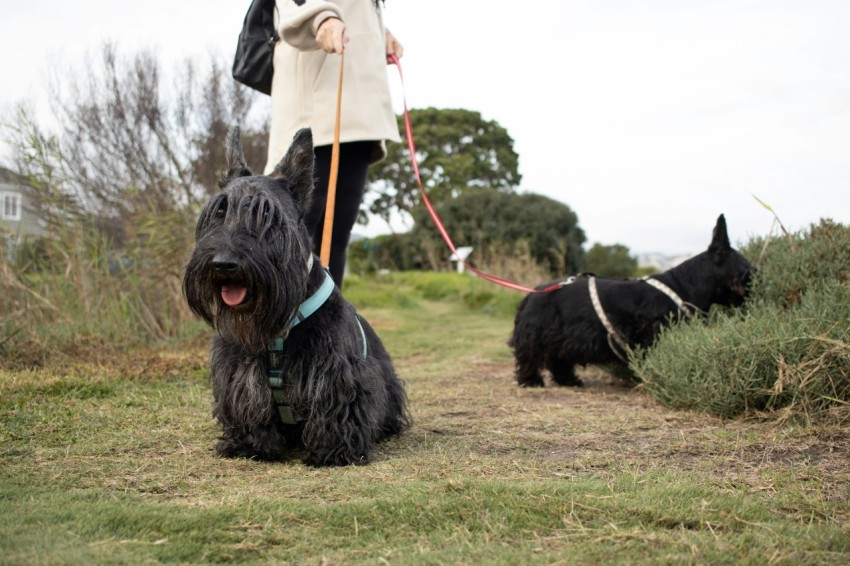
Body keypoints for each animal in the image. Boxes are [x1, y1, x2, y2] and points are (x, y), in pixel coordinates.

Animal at [184, 127, 410, 466]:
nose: (224, 263)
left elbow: (335, 406)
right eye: (219, 212)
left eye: (267, 215)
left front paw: (333, 450)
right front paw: (249, 443)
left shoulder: (335, 372)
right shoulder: (239, 371)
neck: (277, 331)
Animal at [504, 215, 748, 388]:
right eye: (748, 270)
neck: (684, 285)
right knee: (529, 355)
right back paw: (531, 380)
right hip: (536, 333)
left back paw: (568, 380)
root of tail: (532, 293)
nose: (756, 286)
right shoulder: (652, 332)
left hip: (559, 337)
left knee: (559, 359)